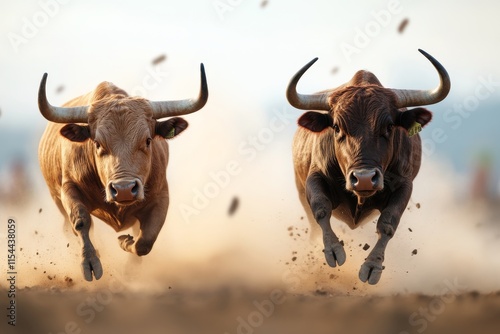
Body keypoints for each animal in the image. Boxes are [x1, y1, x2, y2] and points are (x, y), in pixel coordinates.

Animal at [38, 64, 208, 280]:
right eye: (97, 143)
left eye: (147, 140)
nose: (124, 189)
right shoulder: (68, 189)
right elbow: (81, 221)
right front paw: (90, 262)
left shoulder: (161, 196)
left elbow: (146, 240)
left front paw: (125, 243)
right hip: (57, 200)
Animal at [288, 49, 452, 284]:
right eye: (336, 127)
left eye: (389, 126)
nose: (364, 178)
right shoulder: (314, 178)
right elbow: (320, 209)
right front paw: (333, 251)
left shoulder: (405, 186)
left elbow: (388, 222)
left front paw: (372, 266)